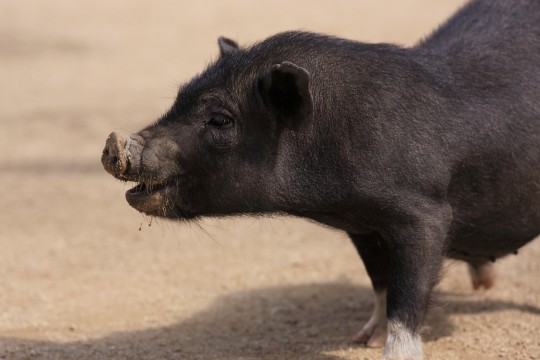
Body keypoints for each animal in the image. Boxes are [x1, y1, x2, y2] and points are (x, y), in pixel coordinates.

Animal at [102, 1, 540, 358]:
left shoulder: (426, 211)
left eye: (220, 120)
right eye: (179, 100)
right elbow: (380, 281)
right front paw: (363, 340)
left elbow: (408, 295)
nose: (114, 144)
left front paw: (389, 351)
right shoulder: (363, 225)